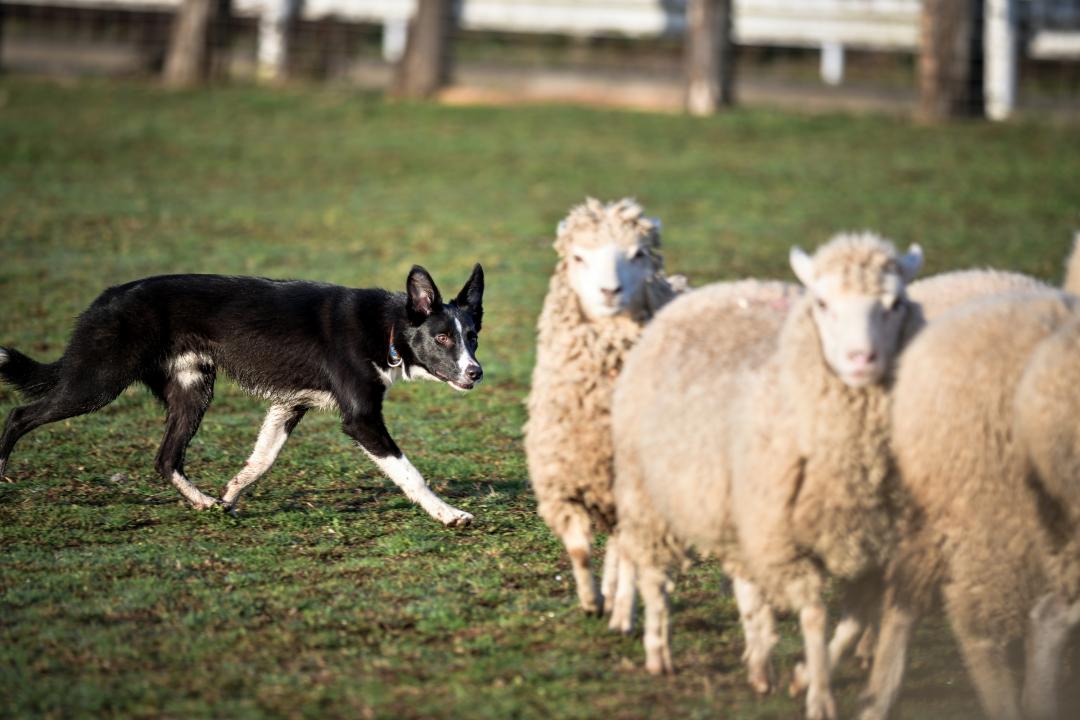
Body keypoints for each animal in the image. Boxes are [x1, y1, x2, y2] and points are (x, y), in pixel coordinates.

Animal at [524, 199, 682, 617]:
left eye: (638, 253)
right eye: (578, 257)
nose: (609, 291)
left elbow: (626, 554)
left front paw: (618, 604)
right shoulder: (564, 481)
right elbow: (580, 550)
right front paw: (591, 600)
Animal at [613, 234, 924, 716]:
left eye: (895, 303)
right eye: (822, 303)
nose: (862, 358)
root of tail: (723, 287)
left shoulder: (877, 545)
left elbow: (855, 620)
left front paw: (805, 677)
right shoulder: (787, 541)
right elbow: (815, 616)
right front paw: (819, 696)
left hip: (740, 509)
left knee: (746, 585)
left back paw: (760, 663)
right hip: (648, 490)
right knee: (653, 574)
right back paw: (658, 649)